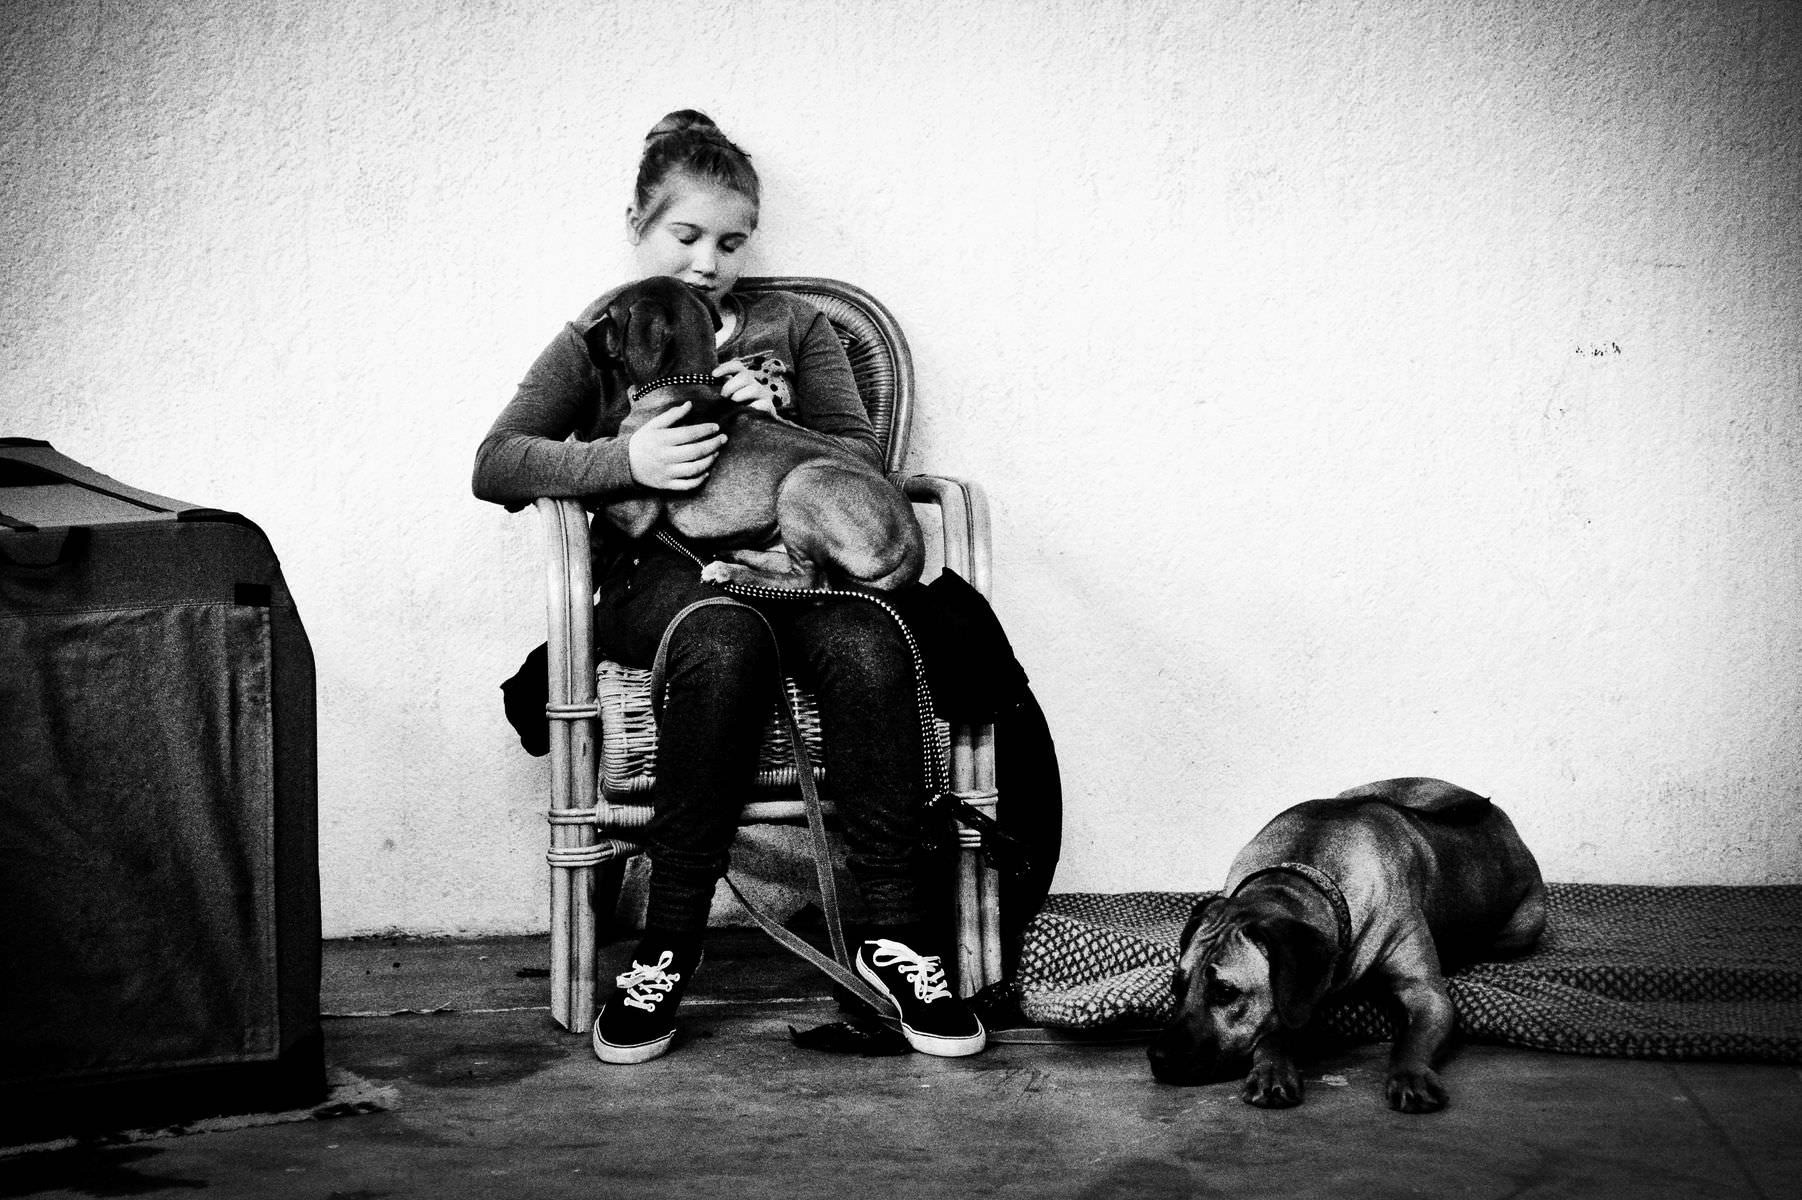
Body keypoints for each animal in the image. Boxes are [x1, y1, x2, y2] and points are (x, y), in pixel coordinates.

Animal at [584, 276, 923, 592]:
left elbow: (599, 542)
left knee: (812, 580)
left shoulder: (626, 515)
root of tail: (913, 546)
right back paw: (735, 554)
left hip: (802, 484)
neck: (681, 384)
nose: (583, 336)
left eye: (610, 316)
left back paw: (730, 571)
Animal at [1147, 777, 1545, 1113]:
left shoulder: (1427, 994)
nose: (1157, 1056)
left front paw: (1411, 1076)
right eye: (1177, 986)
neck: (1303, 876)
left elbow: (1413, 1039)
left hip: (1523, 926)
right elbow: (1272, 1030)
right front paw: (1272, 1069)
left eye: (1225, 992)